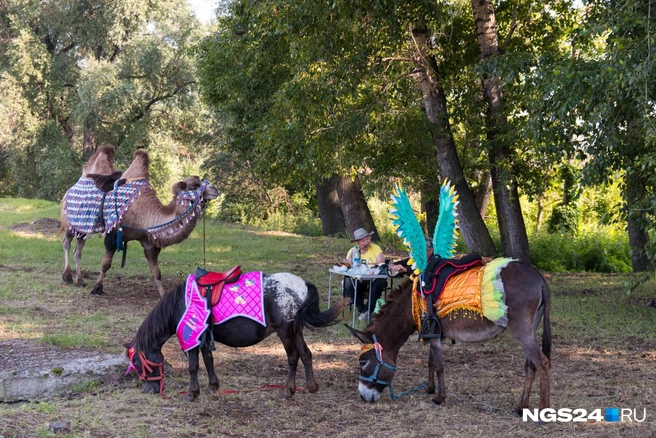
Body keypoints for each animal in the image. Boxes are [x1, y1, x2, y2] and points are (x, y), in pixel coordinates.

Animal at [61, 149, 219, 298]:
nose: (216, 189)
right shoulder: (113, 234)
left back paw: (80, 280)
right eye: (194, 185)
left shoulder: (147, 241)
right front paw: (97, 289)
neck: (145, 213)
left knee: (78, 249)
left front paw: (163, 296)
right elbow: (106, 264)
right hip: (69, 221)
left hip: (82, 227)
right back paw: (67, 277)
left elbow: (156, 272)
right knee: (67, 243)